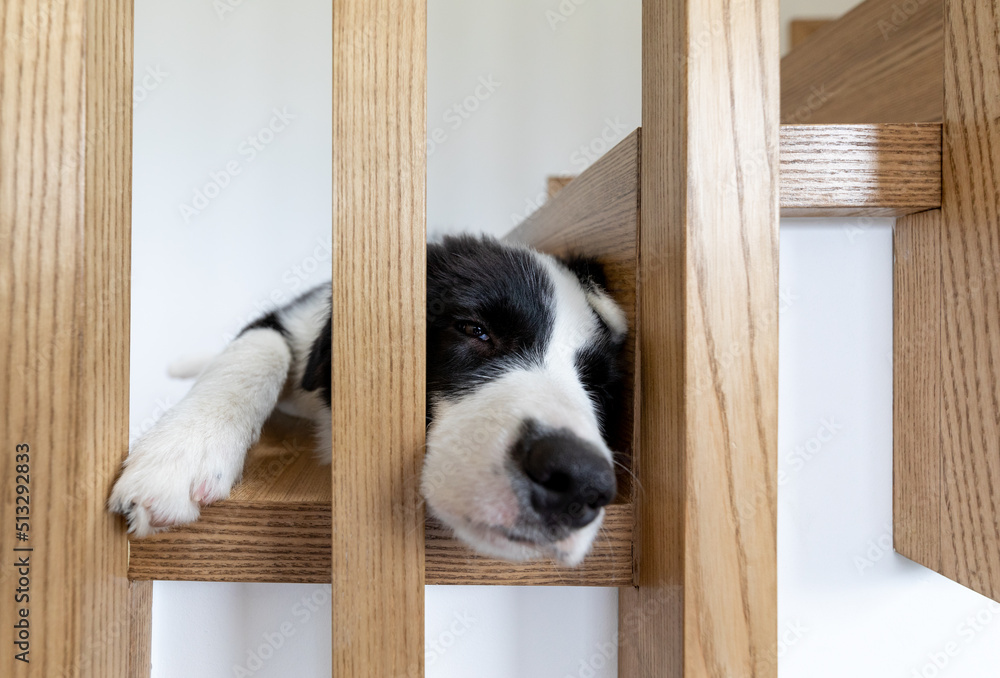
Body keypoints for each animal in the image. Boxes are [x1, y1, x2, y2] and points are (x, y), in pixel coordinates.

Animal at [109, 236, 624, 564]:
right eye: (474, 329)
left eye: (597, 386)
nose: (577, 479)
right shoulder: (298, 317)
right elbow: (261, 346)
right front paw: (181, 453)